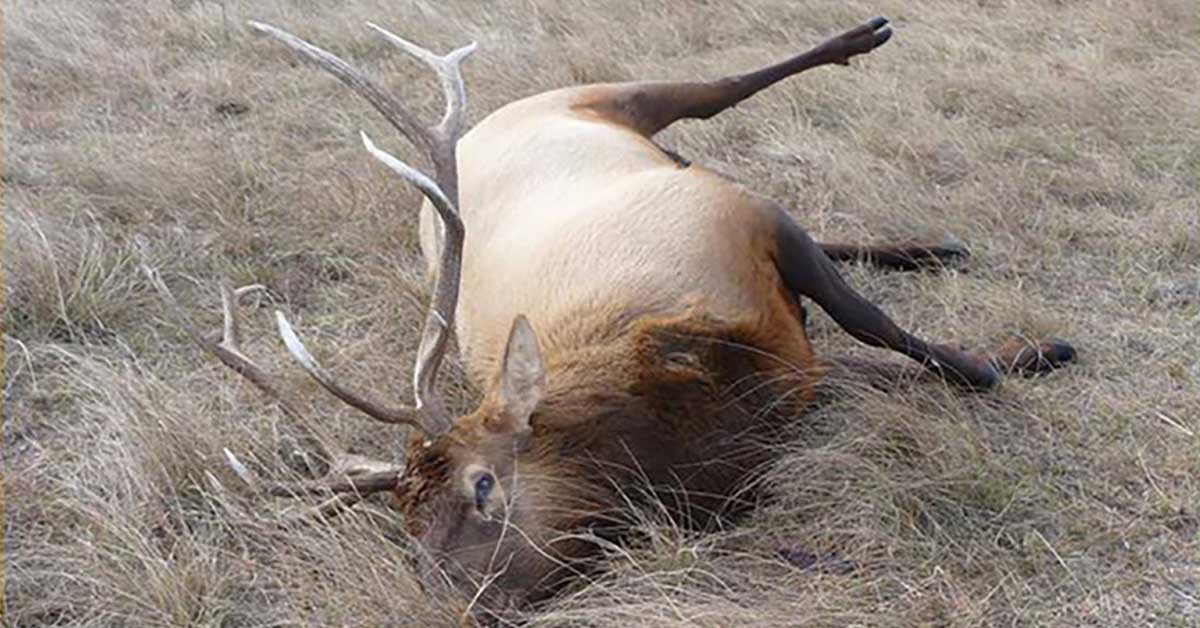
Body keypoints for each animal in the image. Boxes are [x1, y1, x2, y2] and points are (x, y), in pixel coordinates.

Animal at [146, 15, 1076, 616]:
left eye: (483, 486)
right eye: (406, 532)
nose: (453, 604)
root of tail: (478, 125)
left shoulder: (749, 216)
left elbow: (887, 332)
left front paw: (1025, 354)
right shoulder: (791, 364)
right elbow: (874, 357)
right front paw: (1016, 348)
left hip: (612, 105)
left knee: (716, 90)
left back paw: (864, 39)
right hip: (666, 153)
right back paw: (929, 245)